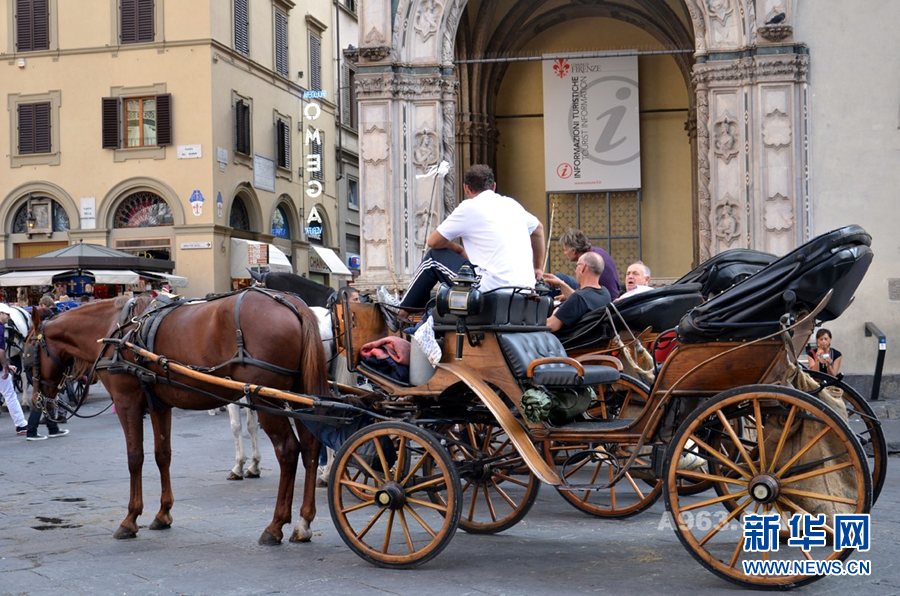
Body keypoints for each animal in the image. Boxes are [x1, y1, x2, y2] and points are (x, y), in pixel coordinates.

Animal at [27, 288, 330, 544]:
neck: (116, 331)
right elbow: (163, 455)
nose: (37, 400)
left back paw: (276, 525)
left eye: (30, 350)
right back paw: (303, 522)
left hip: (265, 397)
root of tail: (293, 304)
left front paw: (130, 518)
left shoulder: (127, 402)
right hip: (299, 396)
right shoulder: (159, 405)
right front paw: (163, 514)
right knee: (311, 448)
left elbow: (135, 457)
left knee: (288, 451)